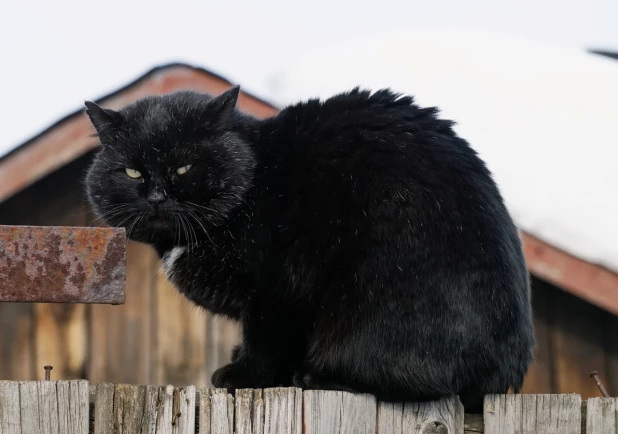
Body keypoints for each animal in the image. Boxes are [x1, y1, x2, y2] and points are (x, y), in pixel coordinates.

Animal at [84, 85, 532, 410]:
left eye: (184, 167)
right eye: (132, 171)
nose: (156, 198)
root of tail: (507, 372)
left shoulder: (277, 288)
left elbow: (265, 340)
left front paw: (243, 377)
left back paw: (315, 376)